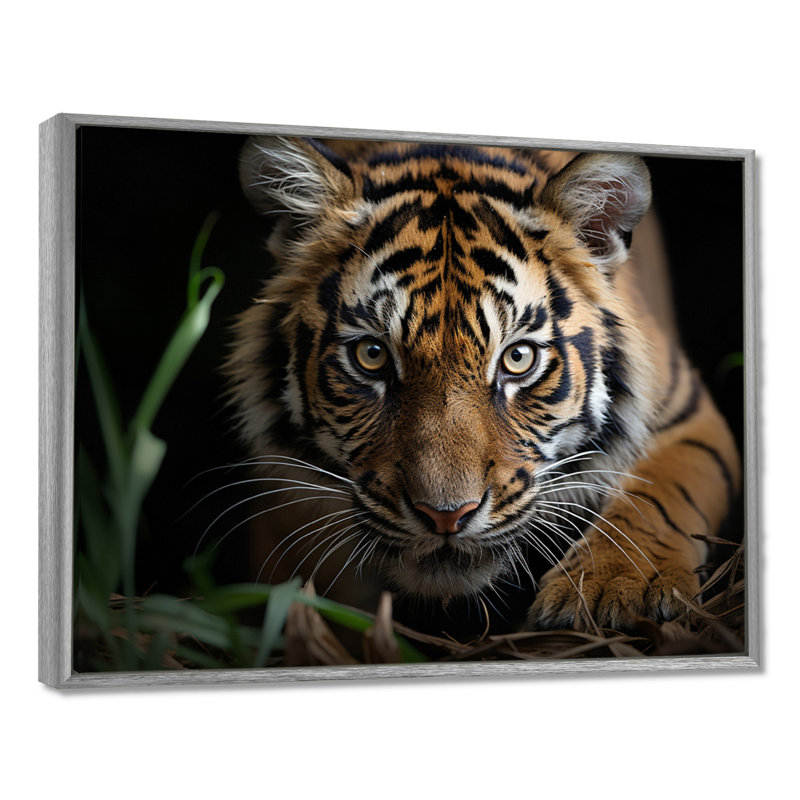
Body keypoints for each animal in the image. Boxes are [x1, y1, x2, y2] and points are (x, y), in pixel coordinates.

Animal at [223, 135, 740, 638]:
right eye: (371, 356)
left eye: (518, 358)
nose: (445, 516)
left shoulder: (687, 414)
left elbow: (659, 497)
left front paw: (616, 587)